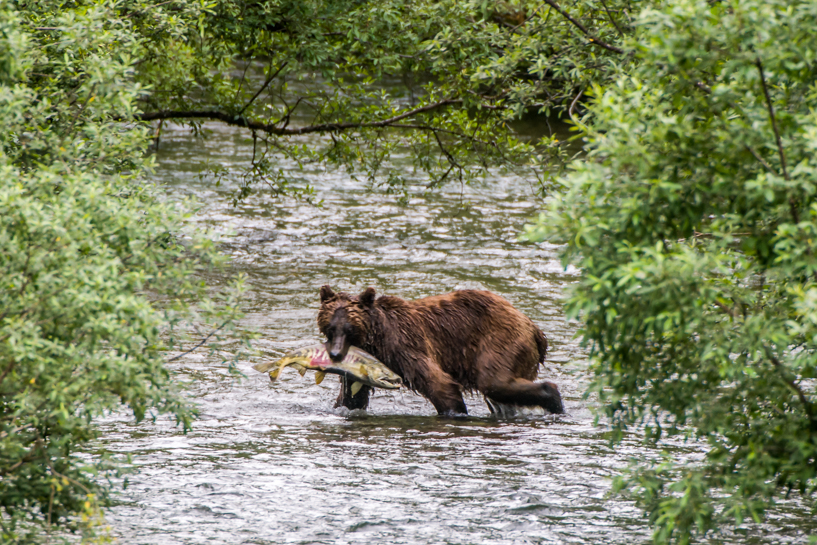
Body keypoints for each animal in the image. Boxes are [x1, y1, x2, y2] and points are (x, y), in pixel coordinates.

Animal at [317, 286, 564, 416]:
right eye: (330, 327)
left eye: (350, 328)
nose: (335, 354)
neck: (375, 341)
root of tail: (534, 328)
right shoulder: (361, 364)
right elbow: (352, 397)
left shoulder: (405, 346)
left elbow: (439, 383)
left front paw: (456, 411)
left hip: (500, 342)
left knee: (495, 382)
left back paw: (553, 399)